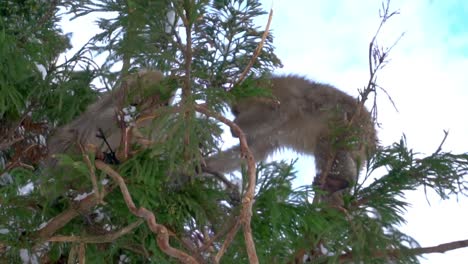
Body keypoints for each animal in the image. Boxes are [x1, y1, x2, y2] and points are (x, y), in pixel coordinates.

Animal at [205, 75, 376, 205]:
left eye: (236, 111)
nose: (235, 115)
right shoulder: (271, 132)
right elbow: (255, 151)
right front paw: (205, 165)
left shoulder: (282, 96)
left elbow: (279, 112)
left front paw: (236, 128)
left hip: (353, 129)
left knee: (327, 144)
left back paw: (341, 181)